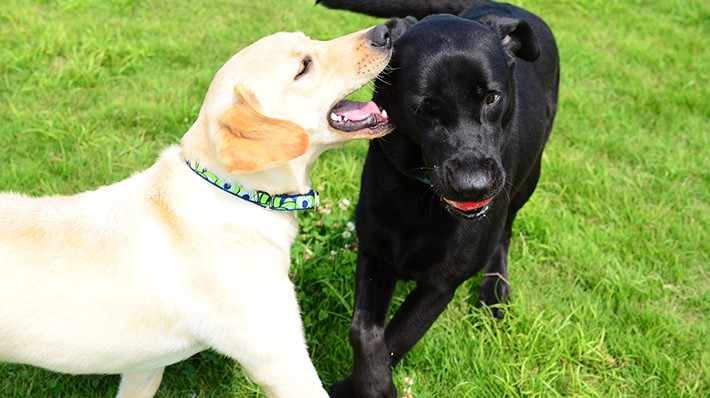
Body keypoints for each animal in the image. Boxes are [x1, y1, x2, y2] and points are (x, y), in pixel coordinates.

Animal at [318, 0, 560, 398]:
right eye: (423, 107)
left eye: (491, 97)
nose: (473, 186)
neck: (419, 194)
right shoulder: (375, 252)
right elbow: (365, 332)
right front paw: (364, 384)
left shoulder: (441, 284)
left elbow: (397, 339)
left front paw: (368, 388)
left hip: (529, 177)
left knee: (505, 231)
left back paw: (494, 291)